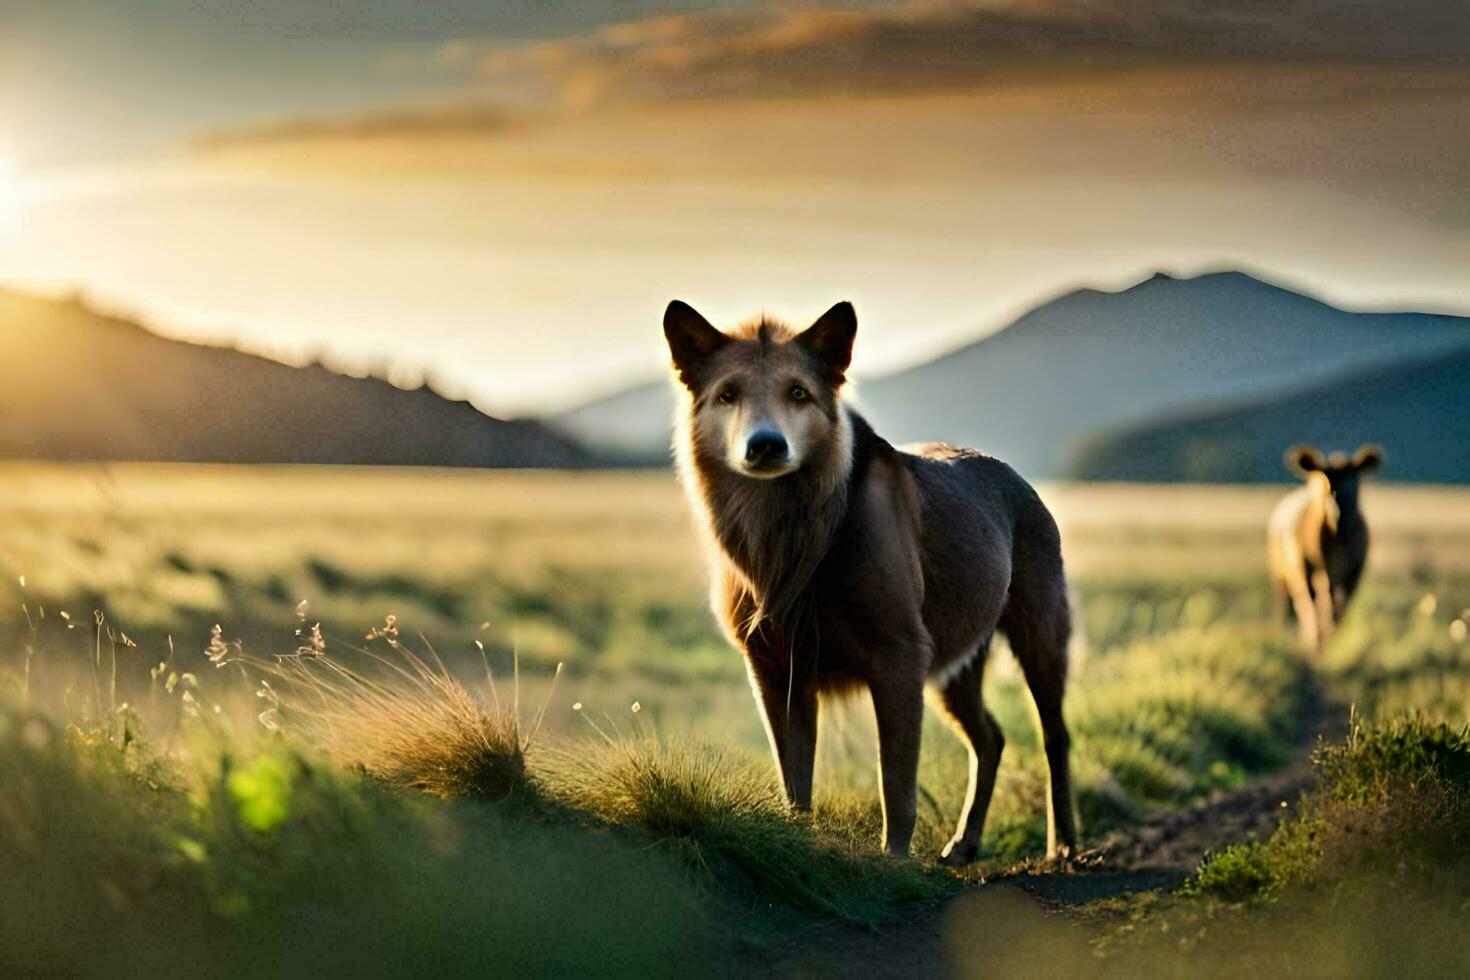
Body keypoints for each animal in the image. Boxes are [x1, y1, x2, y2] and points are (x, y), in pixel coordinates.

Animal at [661, 301, 1076, 863]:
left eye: (799, 393)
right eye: (728, 395)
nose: (765, 445)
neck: (789, 529)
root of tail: (1016, 476)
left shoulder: (898, 657)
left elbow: (895, 784)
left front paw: (894, 864)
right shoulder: (775, 668)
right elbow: (795, 781)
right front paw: (800, 844)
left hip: (1038, 638)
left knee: (1055, 737)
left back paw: (1064, 845)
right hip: (954, 666)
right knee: (991, 739)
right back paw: (964, 843)